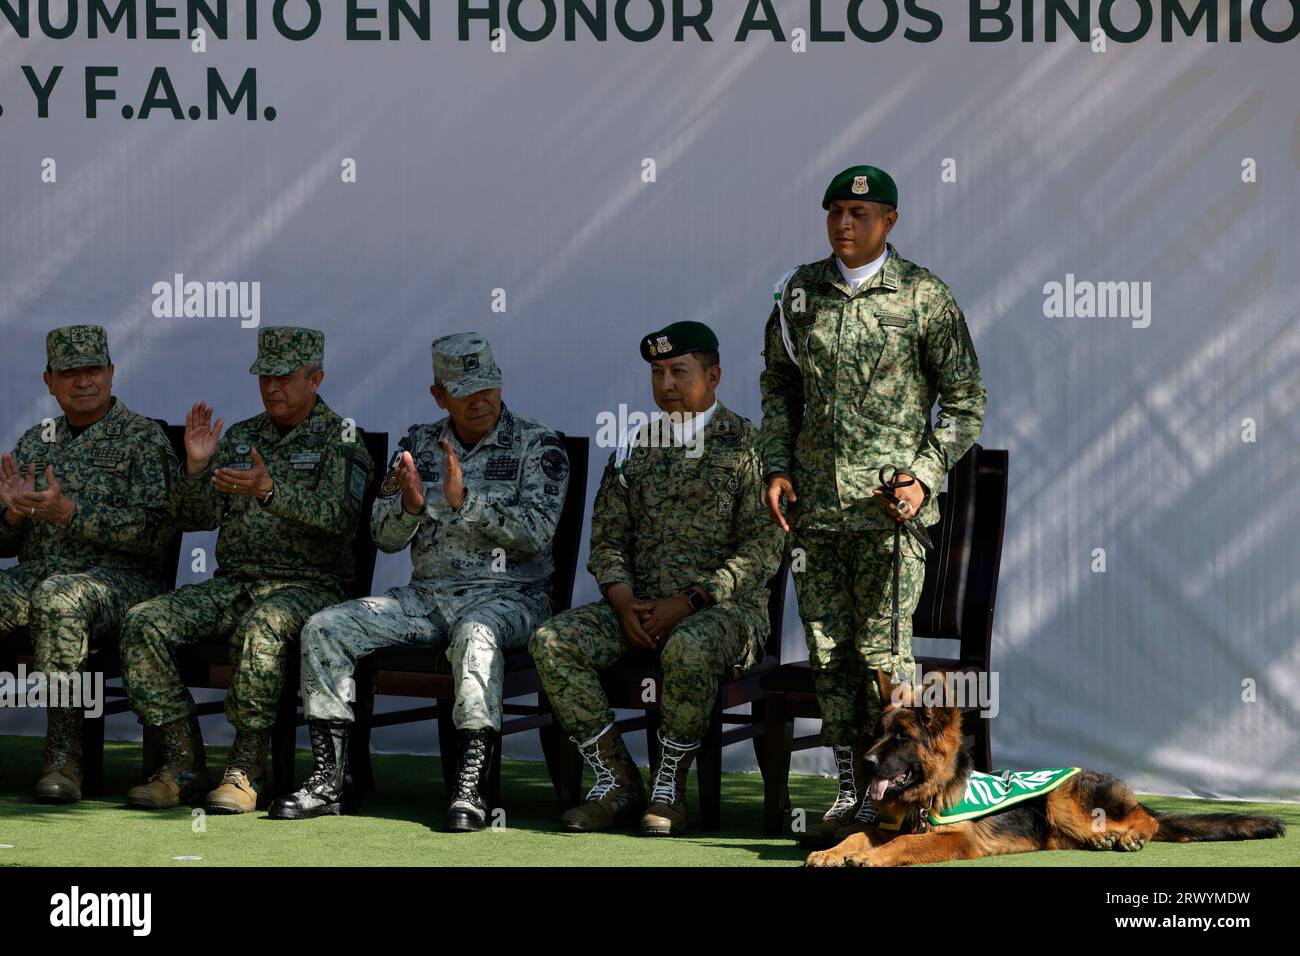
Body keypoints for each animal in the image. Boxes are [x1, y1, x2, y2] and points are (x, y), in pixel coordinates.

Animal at [806, 697, 1284, 868]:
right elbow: (856, 835)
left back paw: (1126, 838)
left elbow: (902, 843)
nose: (867, 763)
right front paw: (831, 852)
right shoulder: (880, 826)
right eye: (877, 735)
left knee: (1146, 819)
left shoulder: (953, 838)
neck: (928, 794)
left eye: (902, 738)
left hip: (1060, 798)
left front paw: (870, 858)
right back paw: (1104, 841)